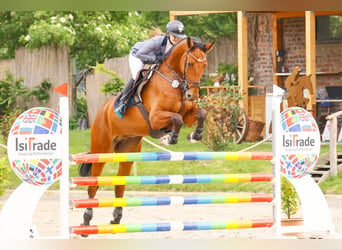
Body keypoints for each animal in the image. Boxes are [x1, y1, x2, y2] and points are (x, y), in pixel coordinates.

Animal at [77, 36, 214, 235]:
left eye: (204, 65)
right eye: (189, 64)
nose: (191, 95)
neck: (174, 80)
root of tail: (101, 111)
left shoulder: (189, 114)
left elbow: (200, 114)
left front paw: (194, 136)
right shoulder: (156, 117)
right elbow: (177, 119)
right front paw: (170, 138)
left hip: (127, 152)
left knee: (120, 184)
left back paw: (116, 219)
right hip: (102, 151)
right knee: (93, 185)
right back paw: (86, 222)